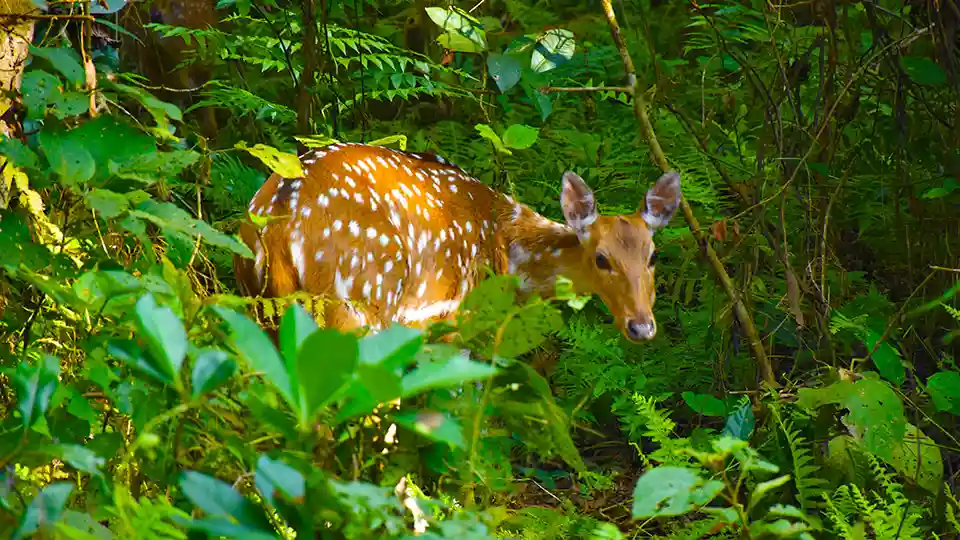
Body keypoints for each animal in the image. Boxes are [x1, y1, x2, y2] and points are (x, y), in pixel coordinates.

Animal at [233, 142, 682, 343]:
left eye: (653, 256)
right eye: (602, 258)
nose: (642, 326)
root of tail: (277, 220)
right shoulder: (451, 319)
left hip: (262, 309)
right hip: (360, 302)